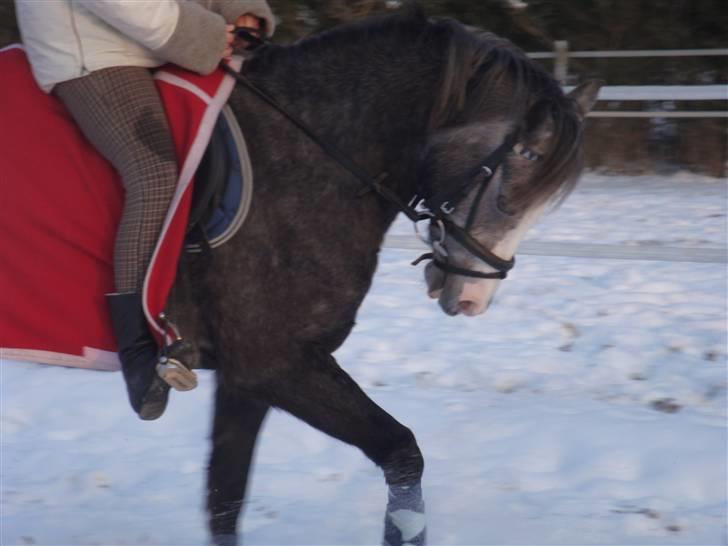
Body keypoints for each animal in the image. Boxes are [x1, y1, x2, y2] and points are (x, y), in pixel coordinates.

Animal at [166, 8, 604, 544]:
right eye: (506, 196)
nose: (473, 299)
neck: (297, 162)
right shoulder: (274, 364)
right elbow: (403, 453)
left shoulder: (243, 381)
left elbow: (224, 502)